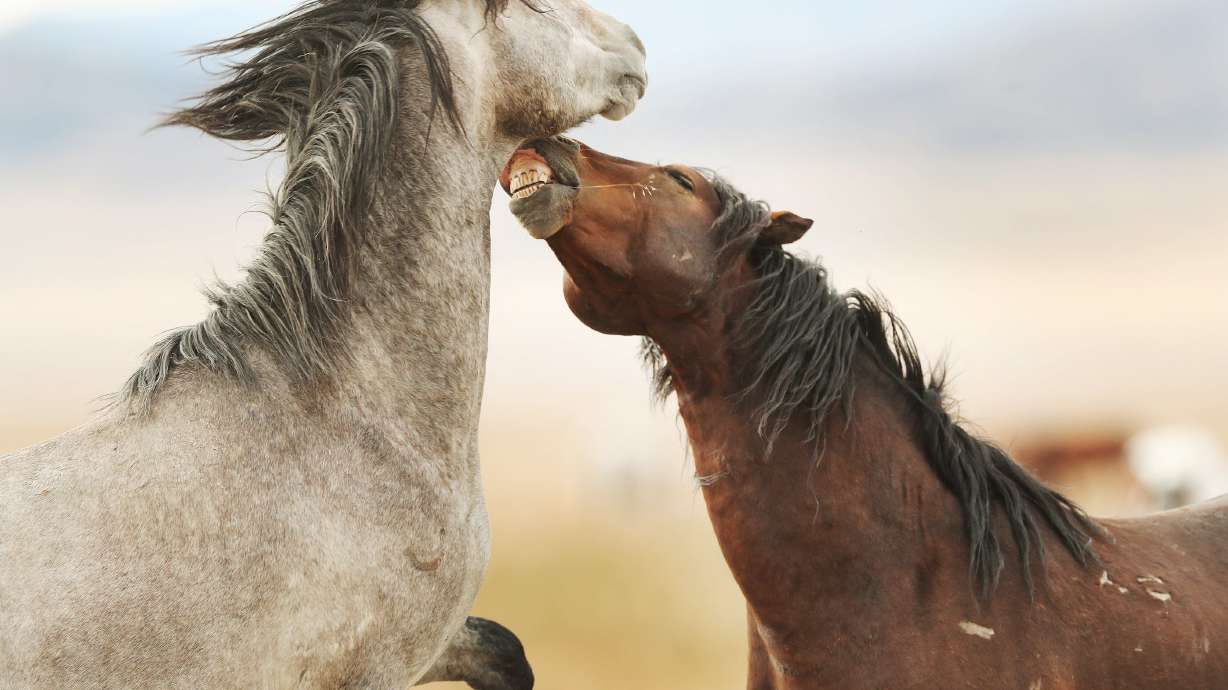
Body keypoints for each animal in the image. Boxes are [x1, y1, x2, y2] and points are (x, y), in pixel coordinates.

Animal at [0, 3, 645, 688]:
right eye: (531, 7)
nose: (633, 41)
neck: (338, 418)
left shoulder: (431, 647)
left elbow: (506, 651)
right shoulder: (377, 667)